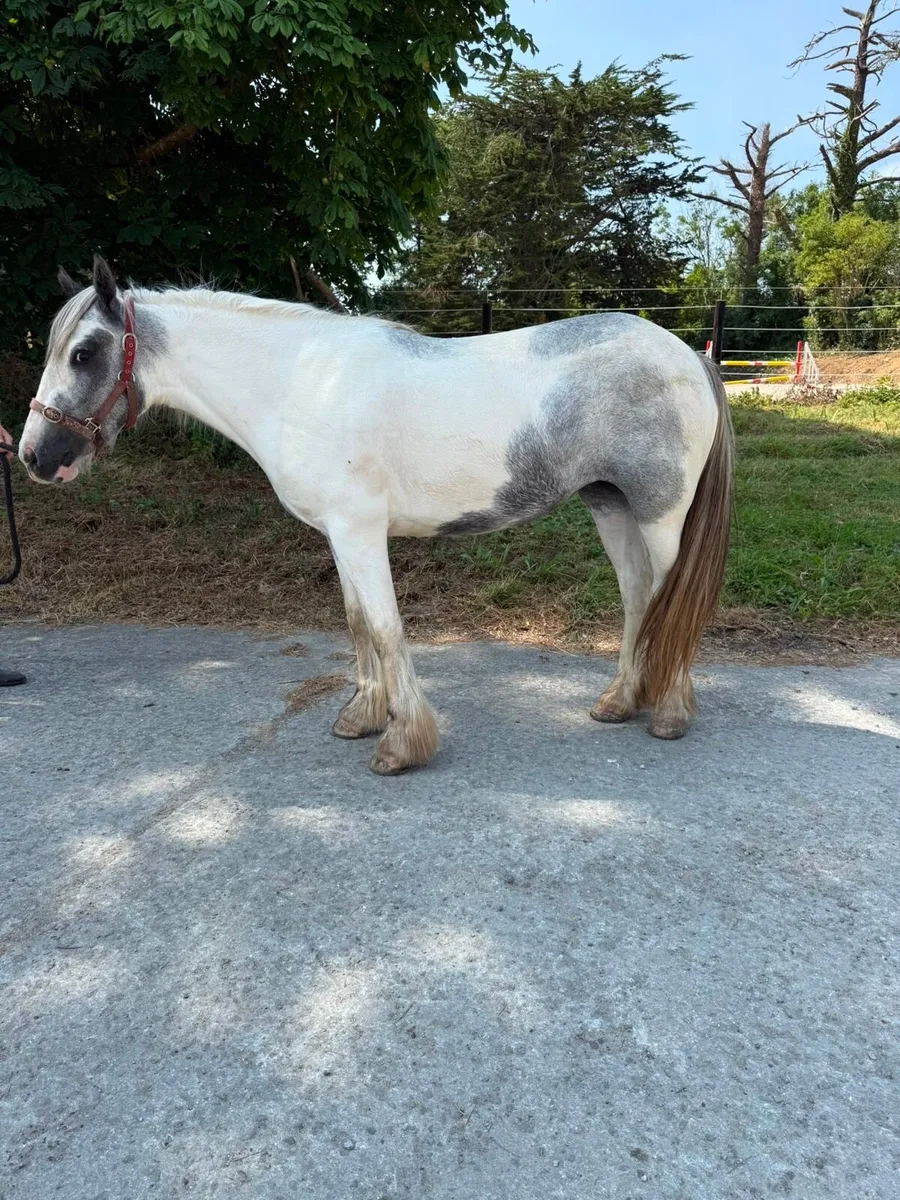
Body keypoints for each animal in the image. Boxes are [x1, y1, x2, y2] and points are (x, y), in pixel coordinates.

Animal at [21, 257, 733, 775]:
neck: (299, 384)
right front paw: (363, 716)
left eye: (84, 353)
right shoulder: (340, 536)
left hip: (660, 516)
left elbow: (388, 630)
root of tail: (690, 356)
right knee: (641, 596)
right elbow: (359, 623)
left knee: (674, 597)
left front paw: (402, 744)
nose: (34, 455)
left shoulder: (361, 533)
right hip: (609, 504)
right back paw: (620, 701)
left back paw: (669, 712)